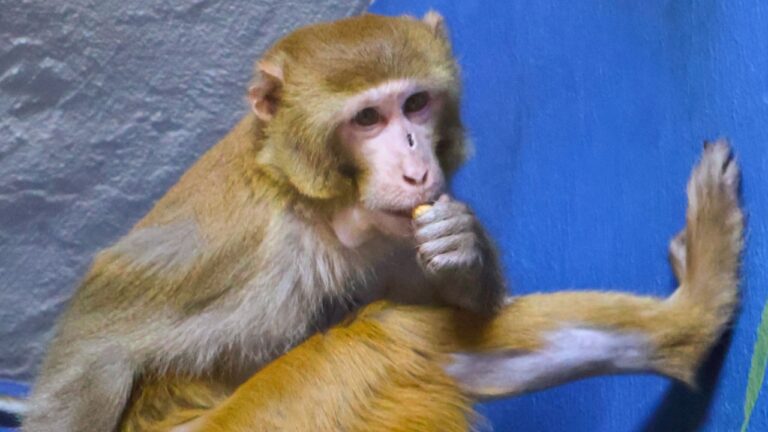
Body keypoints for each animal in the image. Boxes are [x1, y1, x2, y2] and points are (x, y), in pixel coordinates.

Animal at [23, 12, 507, 432]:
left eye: (416, 103)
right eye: (368, 117)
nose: (416, 171)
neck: (317, 208)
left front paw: (462, 246)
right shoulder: (238, 250)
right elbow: (92, 346)